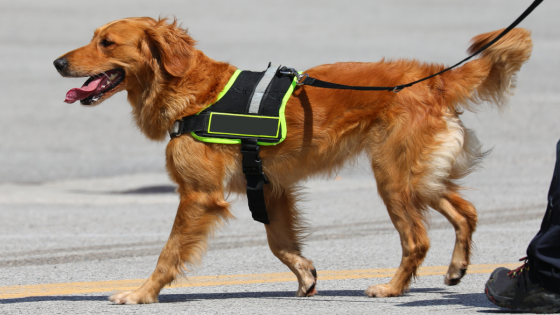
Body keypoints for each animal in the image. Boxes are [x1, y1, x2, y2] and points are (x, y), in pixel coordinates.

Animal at [54, 17, 532, 306]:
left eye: (106, 42)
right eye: (93, 37)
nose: (57, 62)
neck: (191, 90)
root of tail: (431, 79)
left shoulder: (198, 196)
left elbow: (168, 252)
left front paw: (142, 293)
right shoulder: (269, 187)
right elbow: (280, 242)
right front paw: (305, 274)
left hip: (394, 179)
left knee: (417, 239)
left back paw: (393, 288)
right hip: (419, 178)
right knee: (466, 211)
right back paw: (456, 268)